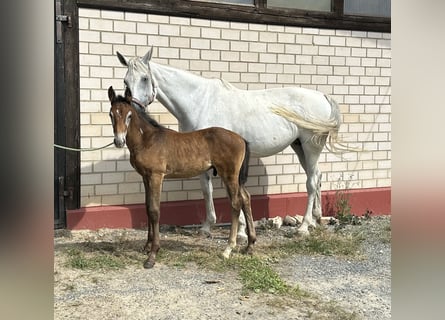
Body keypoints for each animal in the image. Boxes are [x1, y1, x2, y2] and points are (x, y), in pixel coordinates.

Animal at [116, 48, 342, 238]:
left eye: (145, 78)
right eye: (126, 81)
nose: (134, 111)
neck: (199, 102)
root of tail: (323, 96)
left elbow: (230, 191)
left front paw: (240, 231)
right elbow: (207, 189)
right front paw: (208, 227)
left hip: (311, 146)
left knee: (311, 181)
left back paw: (303, 227)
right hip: (299, 146)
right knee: (317, 176)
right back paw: (316, 219)